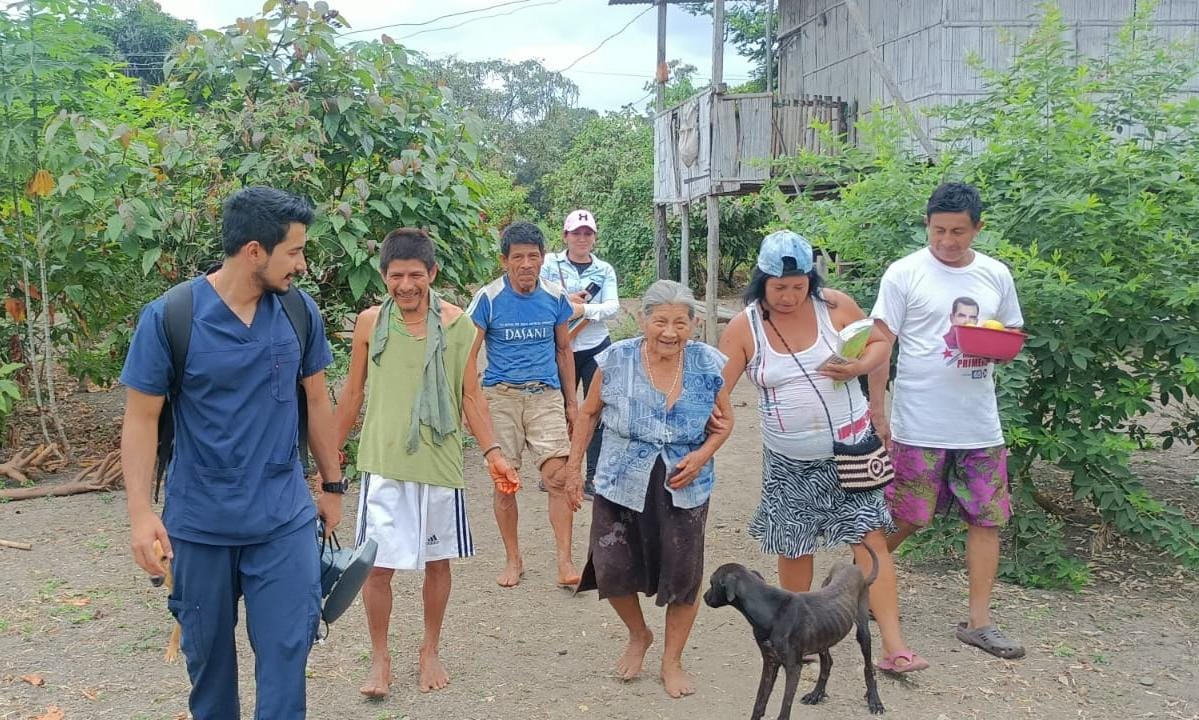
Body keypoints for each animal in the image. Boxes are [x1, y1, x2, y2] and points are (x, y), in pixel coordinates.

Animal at [703, 545, 885, 718]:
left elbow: (785, 707)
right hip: (822, 635)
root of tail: (855, 568)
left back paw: (875, 701)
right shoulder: (770, 662)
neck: (770, 610)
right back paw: (816, 694)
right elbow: (760, 701)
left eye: (712, 582)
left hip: (863, 631)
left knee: (869, 668)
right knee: (827, 662)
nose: (704, 597)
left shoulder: (793, 667)